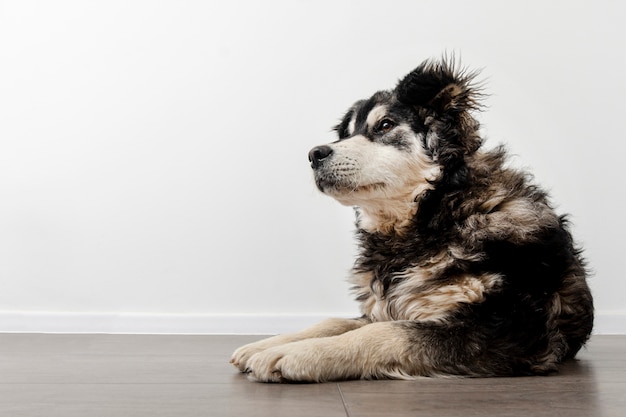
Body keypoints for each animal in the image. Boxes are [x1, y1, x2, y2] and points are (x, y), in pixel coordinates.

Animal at [228, 57, 588, 382]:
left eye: (385, 125)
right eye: (345, 134)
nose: (315, 154)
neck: (438, 212)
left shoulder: (511, 327)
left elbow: (386, 333)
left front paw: (297, 355)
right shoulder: (384, 306)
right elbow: (334, 322)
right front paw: (268, 343)